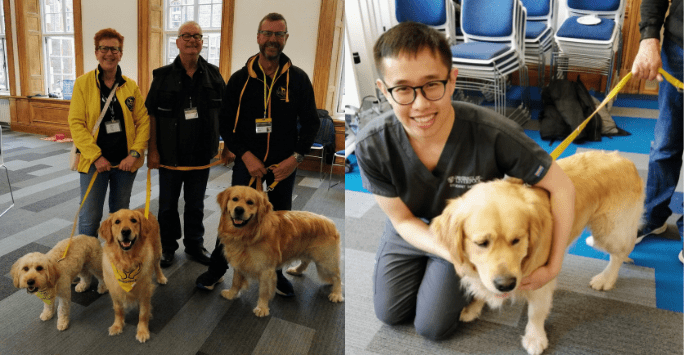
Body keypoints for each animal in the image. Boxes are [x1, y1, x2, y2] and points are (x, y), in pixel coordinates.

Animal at [97, 210, 167, 344]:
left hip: (157, 250)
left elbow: (143, 313)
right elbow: (118, 310)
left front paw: (143, 331)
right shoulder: (114, 290)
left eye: (133, 220)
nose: (125, 231)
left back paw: (161, 277)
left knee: (157, 265)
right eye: (117, 221)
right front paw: (117, 326)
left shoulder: (145, 291)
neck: (127, 261)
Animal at [218, 186, 344, 318]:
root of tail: (330, 222)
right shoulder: (239, 262)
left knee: (337, 277)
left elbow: (263, 291)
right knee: (305, 262)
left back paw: (337, 294)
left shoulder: (266, 270)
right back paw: (296, 270)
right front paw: (231, 293)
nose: (238, 210)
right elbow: (236, 281)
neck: (247, 235)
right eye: (235, 199)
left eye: (250, 202)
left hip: (326, 261)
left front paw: (262, 308)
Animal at [436, 151, 644, 355]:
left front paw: (535, 338)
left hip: (609, 231)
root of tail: (625, 160)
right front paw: (473, 307)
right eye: (482, 243)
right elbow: (483, 287)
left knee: (619, 254)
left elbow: (535, 312)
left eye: (517, 240)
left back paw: (606, 278)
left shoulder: (541, 280)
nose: (506, 285)